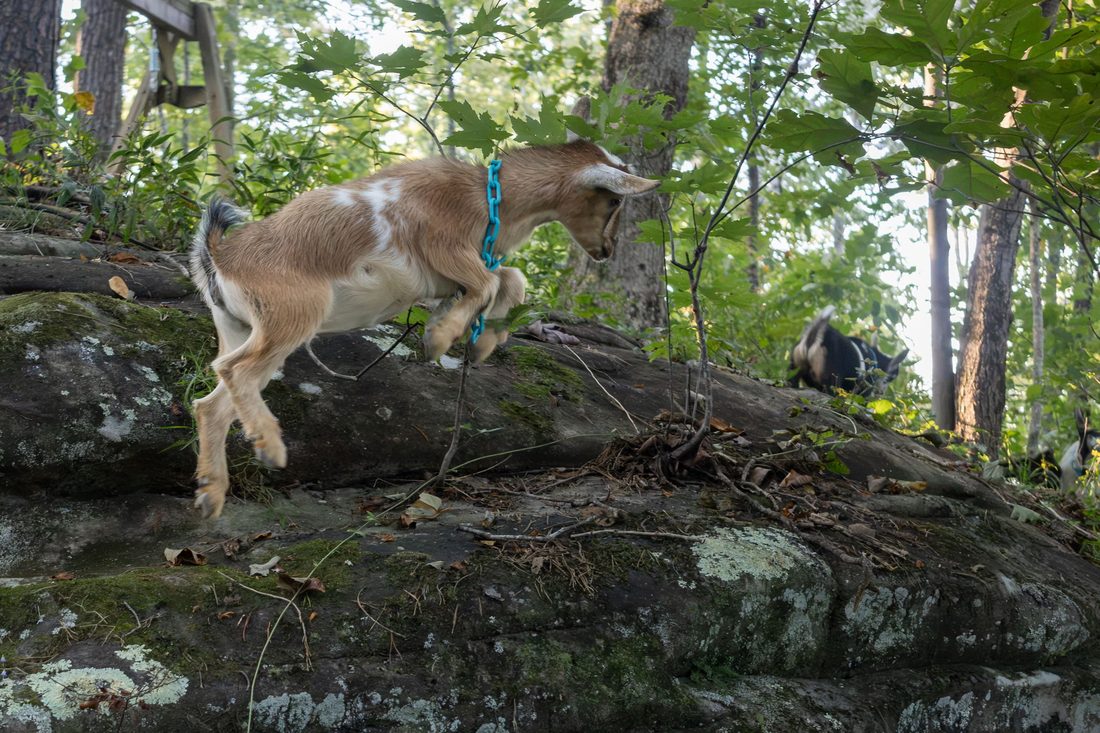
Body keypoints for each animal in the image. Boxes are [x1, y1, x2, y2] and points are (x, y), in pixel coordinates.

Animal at [187, 140, 659, 517]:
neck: (487, 197)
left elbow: (510, 279)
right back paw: (270, 446)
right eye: (614, 201)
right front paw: (440, 338)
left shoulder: (447, 276)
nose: (605, 250)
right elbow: (493, 283)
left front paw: (480, 342)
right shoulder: (445, 249)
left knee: (212, 402)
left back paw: (212, 493)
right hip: (294, 315)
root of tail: (219, 258)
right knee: (233, 371)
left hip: (245, 328)